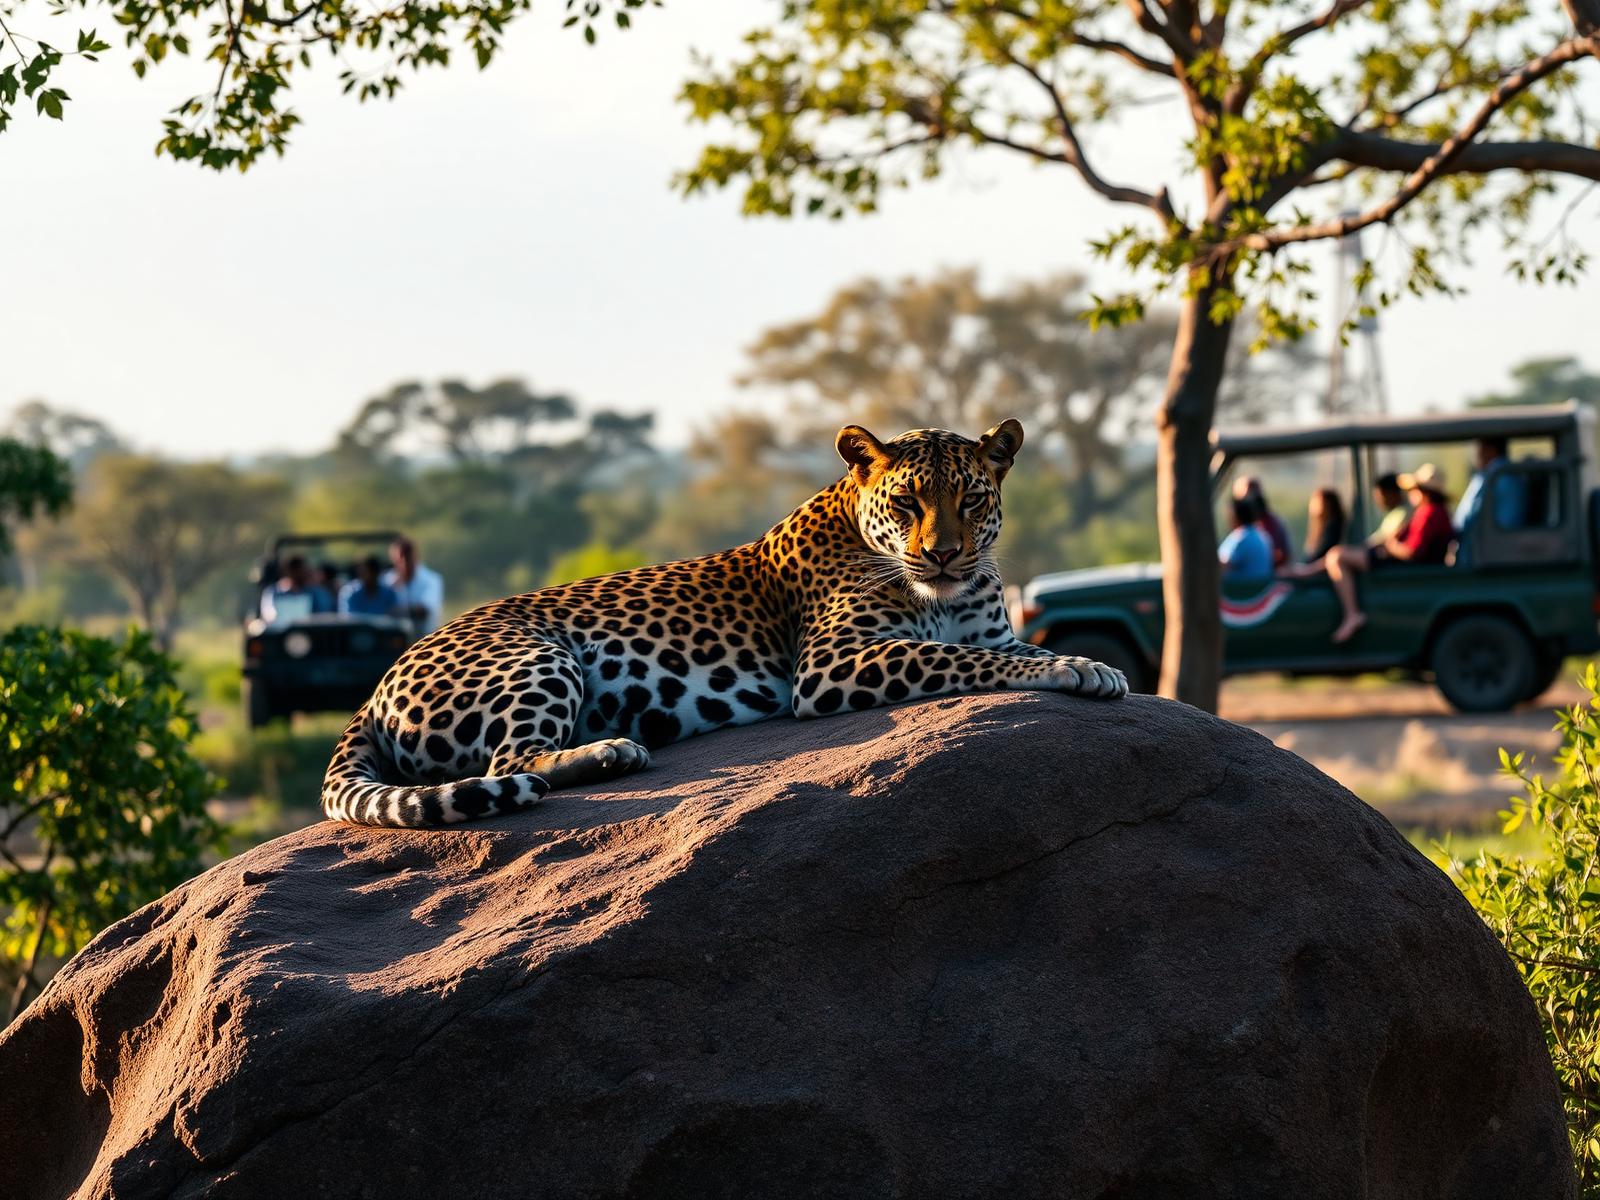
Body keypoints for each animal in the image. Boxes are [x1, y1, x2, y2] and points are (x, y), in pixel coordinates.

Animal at [320, 418, 1128, 827]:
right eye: (908, 502)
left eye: (970, 499)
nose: (943, 553)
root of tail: (375, 686)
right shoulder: (834, 662)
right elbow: (966, 661)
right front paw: (1077, 666)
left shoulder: (990, 629)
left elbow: (1001, 649)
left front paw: (1093, 665)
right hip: (535, 657)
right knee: (508, 764)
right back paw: (615, 752)